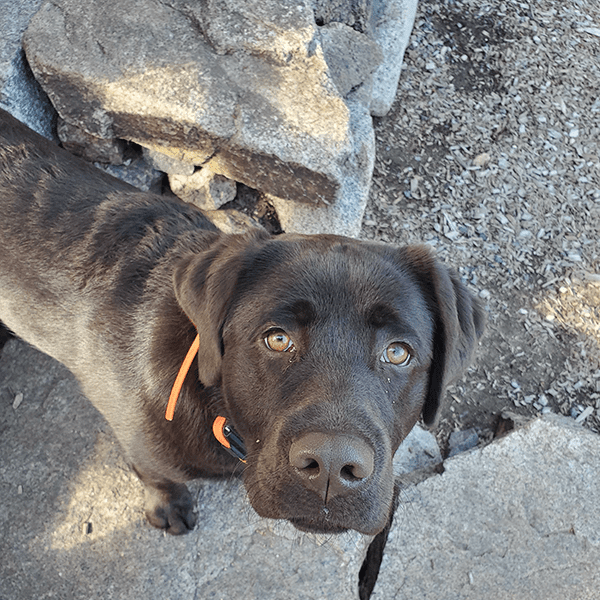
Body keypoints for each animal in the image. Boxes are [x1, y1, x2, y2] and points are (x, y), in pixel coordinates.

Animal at [0, 110, 482, 536]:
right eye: (277, 339)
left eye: (398, 352)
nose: (330, 465)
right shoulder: (136, 438)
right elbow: (157, 476)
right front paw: (168, 507)